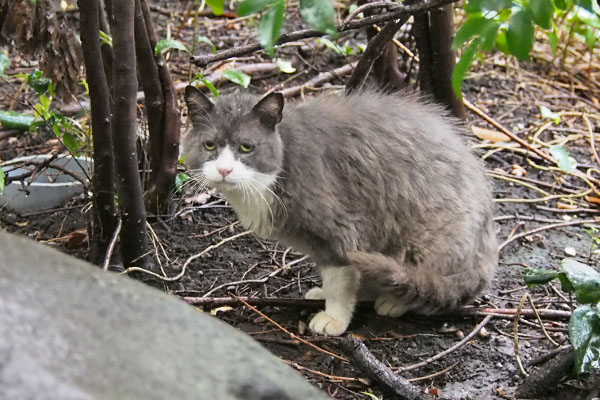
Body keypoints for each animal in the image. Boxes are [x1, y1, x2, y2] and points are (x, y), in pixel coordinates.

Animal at [183, 86, 496, 336]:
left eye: (246, 147)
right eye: (209, 144)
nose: (224, 169)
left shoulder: (341, 230)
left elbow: (339, 280)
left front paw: (333, 319)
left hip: (428, 235)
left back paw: (394, 300)